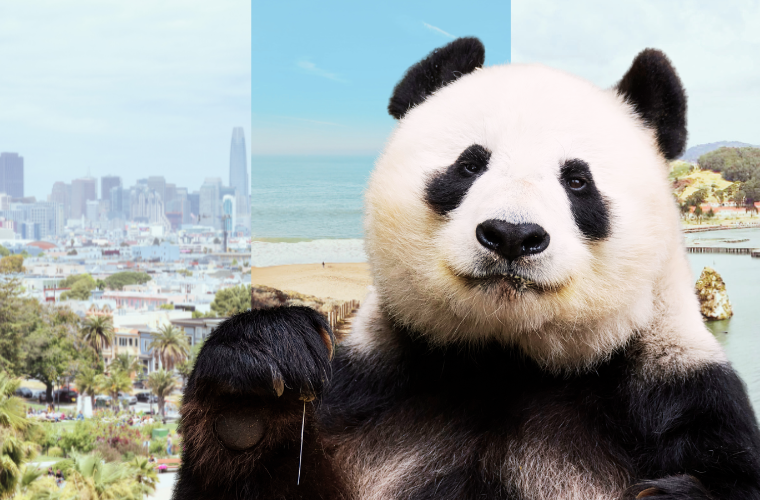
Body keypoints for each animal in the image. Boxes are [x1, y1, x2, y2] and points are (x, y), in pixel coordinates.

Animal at [174, 38, 760, 500]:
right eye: (470, 164)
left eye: (577, 181)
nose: (511, 235)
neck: (505, 359)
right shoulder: (367, 393)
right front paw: (254, 390)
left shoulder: (676, 399)